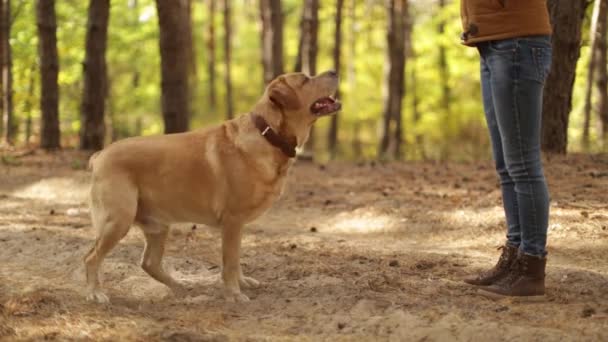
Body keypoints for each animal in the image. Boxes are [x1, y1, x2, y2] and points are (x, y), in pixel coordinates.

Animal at [84, 70, 342, 302]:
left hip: (157, 226)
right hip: (118, 220)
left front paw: (241, 283)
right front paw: (234, 294)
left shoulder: (237, 226)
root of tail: (99, 155)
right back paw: (95, 293)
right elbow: (229, 263)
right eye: (305, 79)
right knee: (91, 258)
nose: (333, 71)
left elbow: (236, 259)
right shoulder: (232, 220)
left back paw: (181, 288)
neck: (268, 134)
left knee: (149, 263)